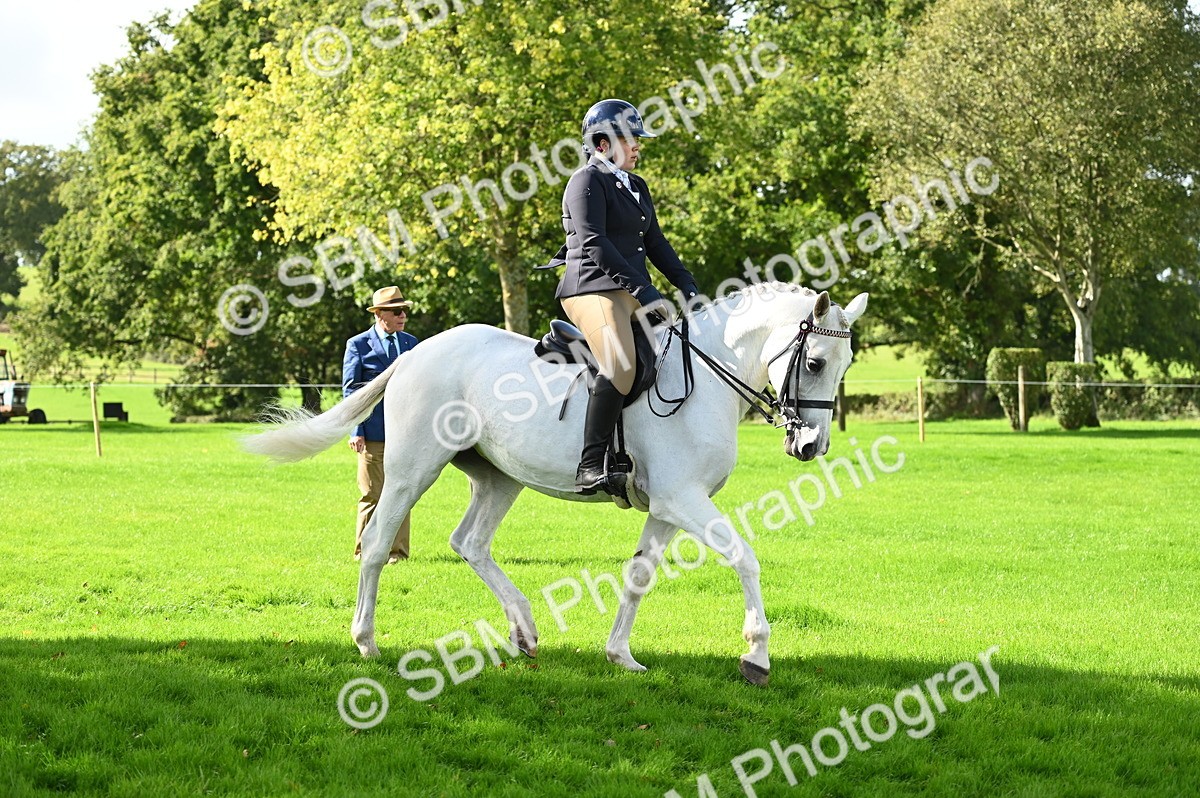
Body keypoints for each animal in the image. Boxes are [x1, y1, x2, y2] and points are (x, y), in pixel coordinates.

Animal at [242, 282, 868, 685]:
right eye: (815, 362)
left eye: (845, 364)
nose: (810, 447)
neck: (706, 377)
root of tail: (417, 351)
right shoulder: (682, 500)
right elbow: (745, 558)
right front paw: (757, 656)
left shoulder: (668, 507)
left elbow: (639, 575)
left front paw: (621, 656)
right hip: (411, 469)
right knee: (375, 544)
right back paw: (367, 640)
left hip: (498, 478)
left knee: (470, 543)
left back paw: (524, 630)